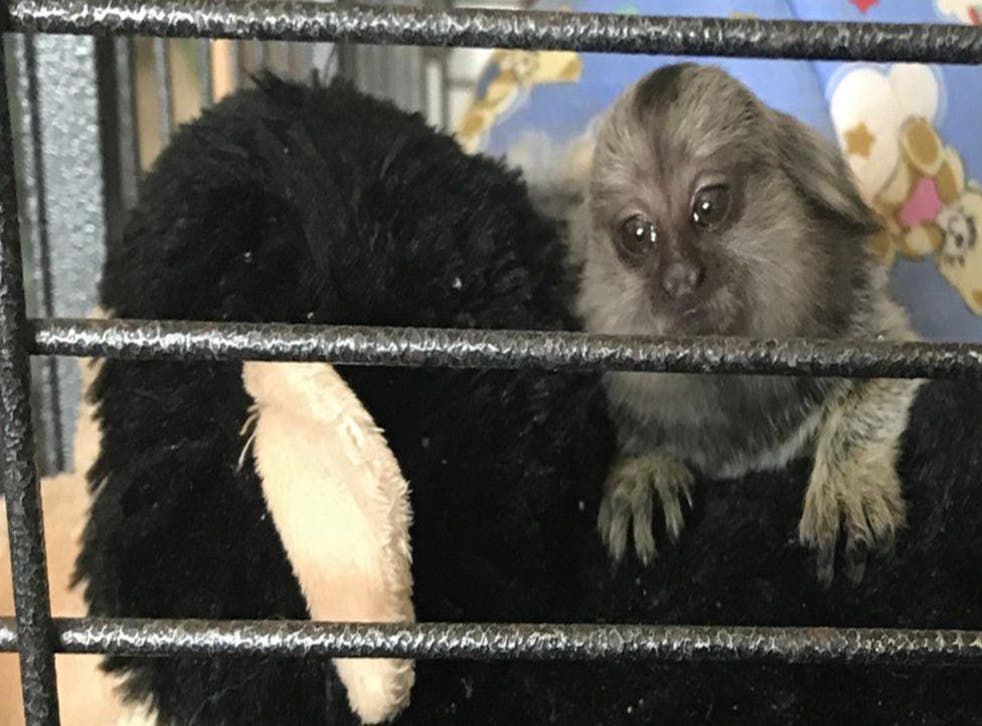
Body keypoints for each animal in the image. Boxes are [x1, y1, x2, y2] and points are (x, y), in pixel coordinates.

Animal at [568, 63, 922, 586]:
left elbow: (883, 380)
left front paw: (846, 484)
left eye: (708, 207)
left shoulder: (862, 324)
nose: (680, 276)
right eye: (637, 234)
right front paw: (642, 468)